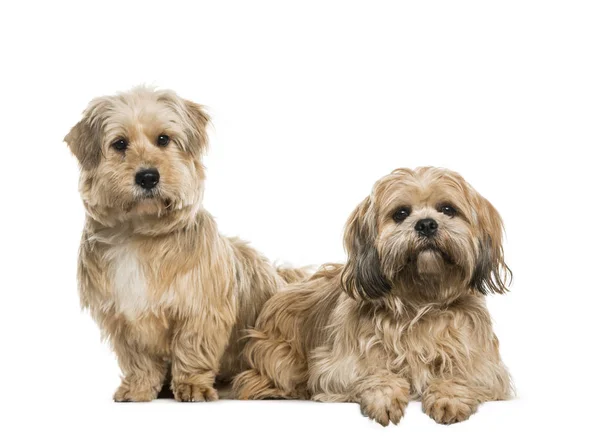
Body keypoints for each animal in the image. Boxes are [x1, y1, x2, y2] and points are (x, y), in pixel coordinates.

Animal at [66, 87, 308, 404]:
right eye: (120, 144)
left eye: (163, 139)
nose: (147, 176)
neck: (139, 235)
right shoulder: (124, 318)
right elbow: (138, 359)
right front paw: (139, 387)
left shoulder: (201, 310)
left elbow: (192, 348)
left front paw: (192, 385)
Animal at [233, 167, 510, 424]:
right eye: (401, 213)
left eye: (447, 209)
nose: (426, 224)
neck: (420, 303)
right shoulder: (338, 367)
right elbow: (372, 372)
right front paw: (384, 397)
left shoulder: (485, 366)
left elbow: (462, 374)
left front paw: (449, 397)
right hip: (279, 360)